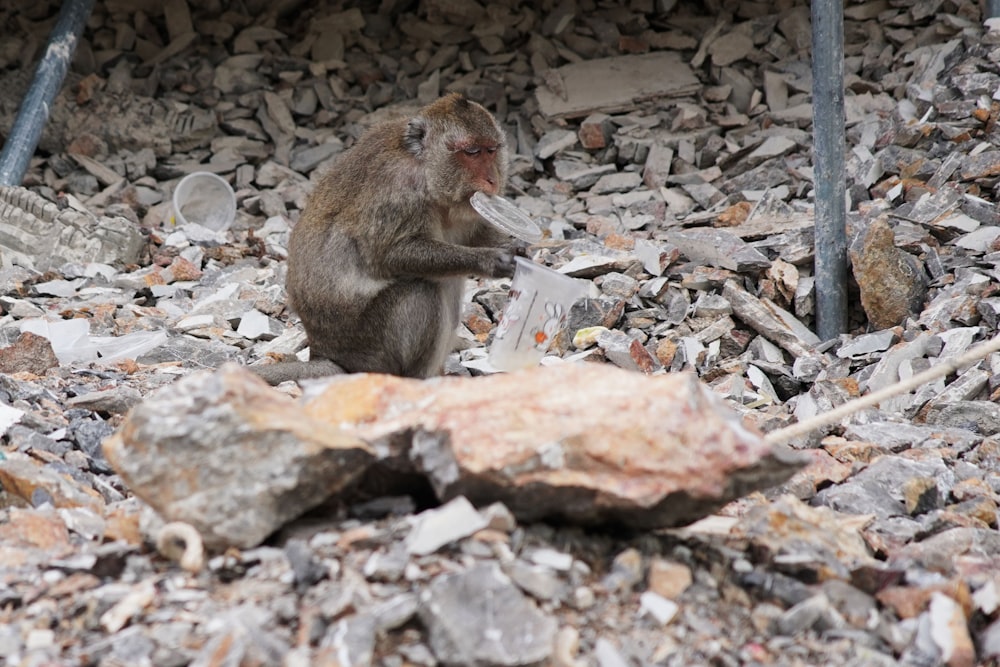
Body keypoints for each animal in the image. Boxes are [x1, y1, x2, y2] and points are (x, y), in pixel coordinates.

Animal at [252, 94, 516, 386]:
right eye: (471, 152)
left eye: (491, 150)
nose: (492, 180)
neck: (425, 169)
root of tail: (328, 354)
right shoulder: (399, 193)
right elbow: (392, 255)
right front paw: (490, 260)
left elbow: (473, 234)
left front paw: (520, 248)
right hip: (371, 348)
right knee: (422, 291)